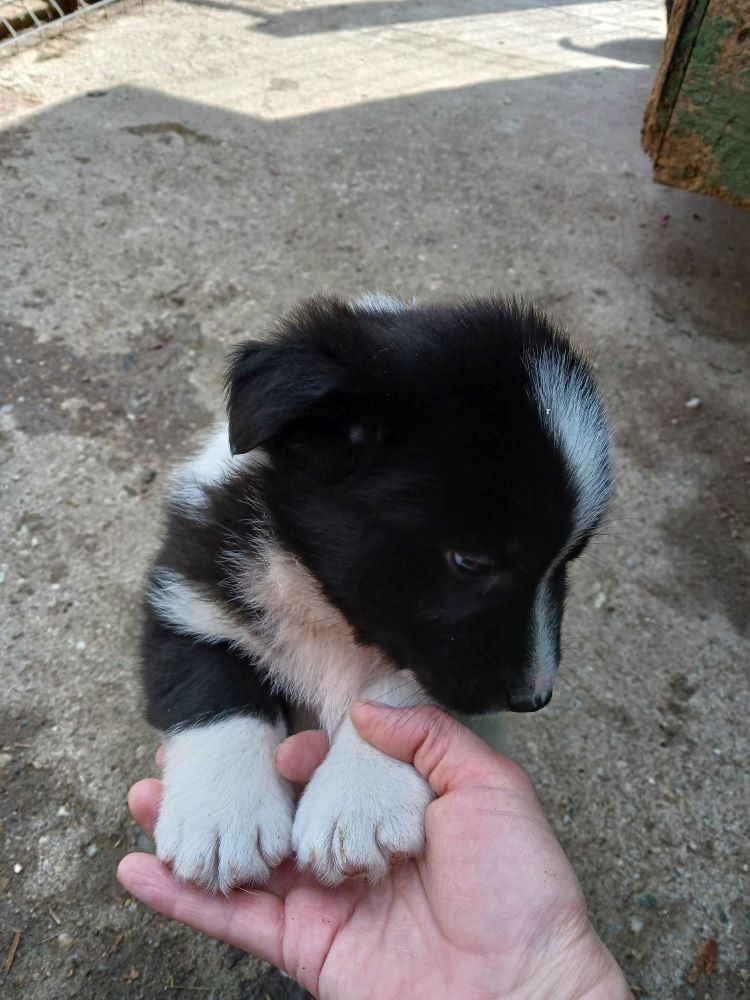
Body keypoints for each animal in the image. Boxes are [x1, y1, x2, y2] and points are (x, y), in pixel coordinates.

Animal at [142, 292, 616, 896]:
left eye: (569, 560)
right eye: (471, 562)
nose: (533, 698)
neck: (325, 611)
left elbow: (402, 694)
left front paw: (360, 802)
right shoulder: (186, 594)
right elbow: (214, 687)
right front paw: (224, 817)